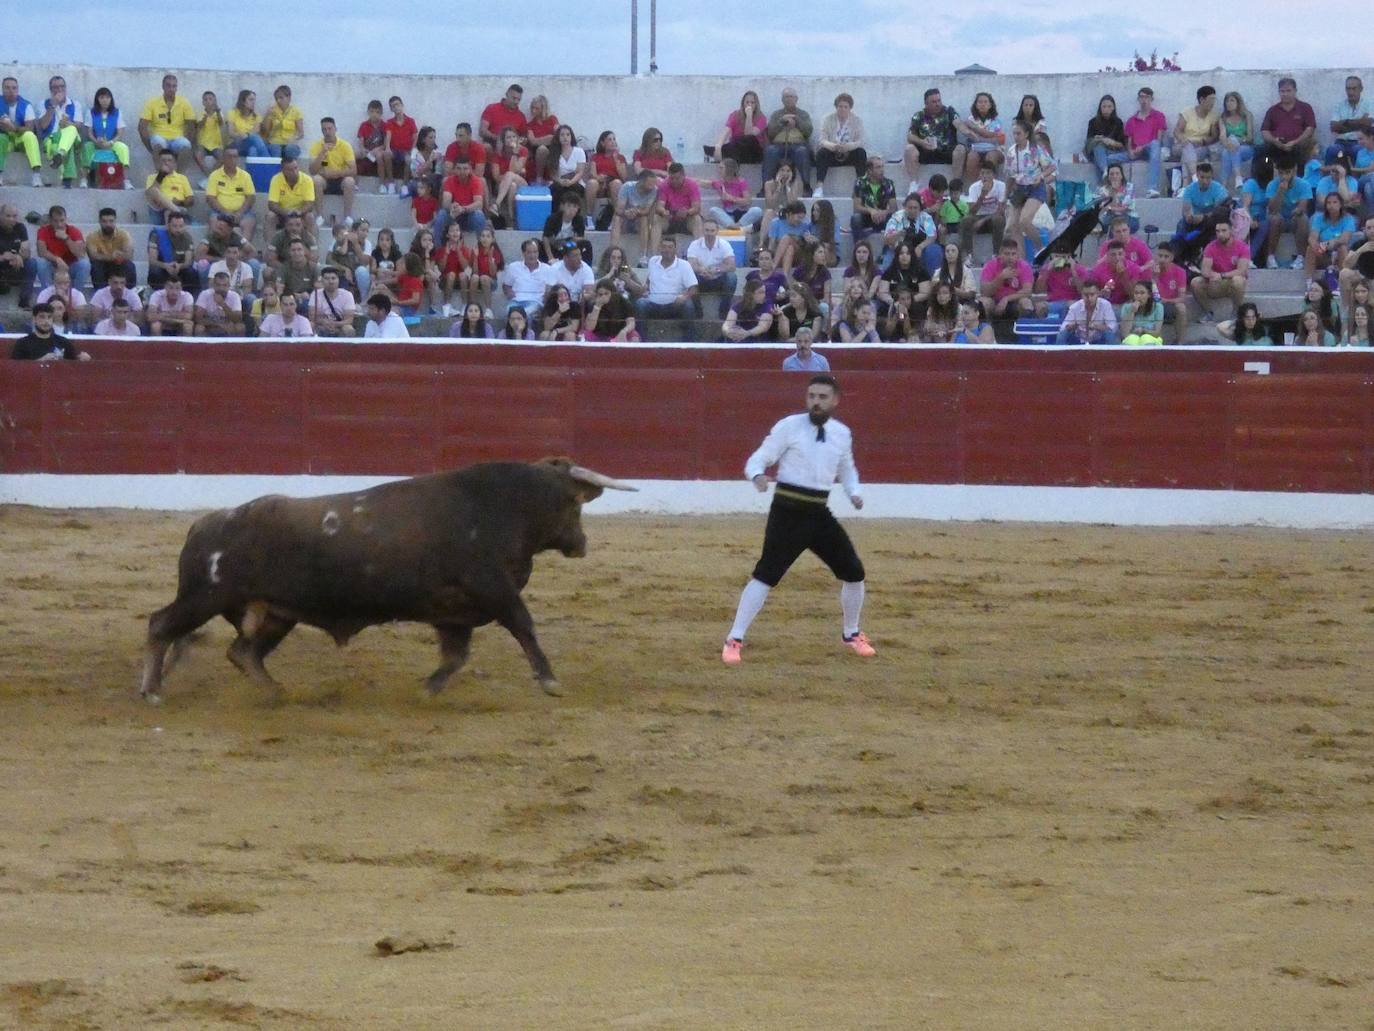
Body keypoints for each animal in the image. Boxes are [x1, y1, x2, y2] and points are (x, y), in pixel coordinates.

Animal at [139, 459, 632, 709]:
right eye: (574, 503)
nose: (581, 544)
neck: (507, 504)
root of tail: (207, 522)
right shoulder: (496, 591)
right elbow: (525, 628)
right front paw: (550, 681)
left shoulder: (456, 612)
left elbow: (456, 656)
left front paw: (426, 689)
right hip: (204, 596)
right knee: (161, 625)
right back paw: (152, 691)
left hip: (275, 613)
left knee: (243, 652)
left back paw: (277, 693)